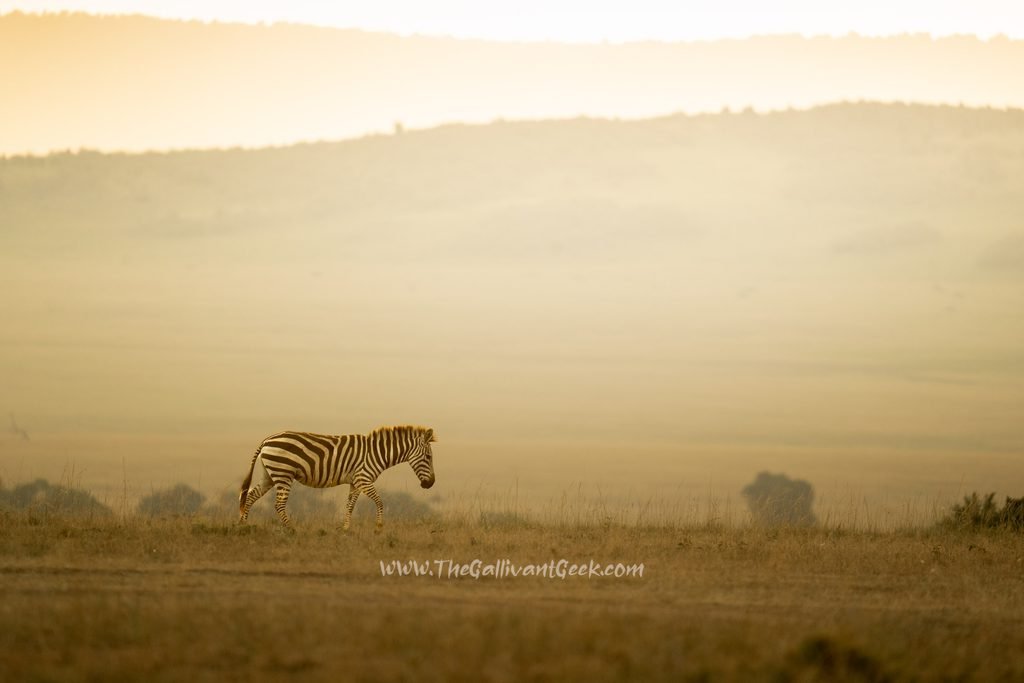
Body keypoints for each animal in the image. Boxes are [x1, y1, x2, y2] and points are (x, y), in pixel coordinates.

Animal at [238, 425, 436, 530]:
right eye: (428, 457)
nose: (431, 483)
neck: (376, 453)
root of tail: (266, 440)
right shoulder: (364, 479)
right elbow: (380, 502)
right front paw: (379, 527)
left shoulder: (356, 482)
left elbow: (350, 506)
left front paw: (345, 529)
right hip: (283, 473)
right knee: (278, 504)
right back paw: (293, 529)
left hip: (269, 475)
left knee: (251, 496)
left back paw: (243, 525)